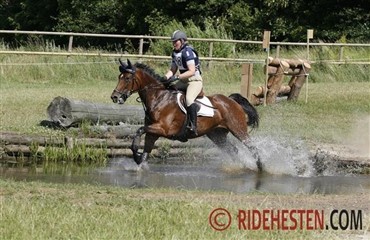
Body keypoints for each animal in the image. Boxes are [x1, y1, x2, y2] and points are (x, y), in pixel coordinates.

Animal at [110, 59, 264, 172]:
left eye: (127, 78)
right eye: (119, 77)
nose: (114, 97)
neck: (159, 97)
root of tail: (232, 101)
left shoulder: (163, 129)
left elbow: (139, 130)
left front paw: (136, 155)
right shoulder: (152, 132)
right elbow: (145, 149)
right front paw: (138, 161)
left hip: (238, 129)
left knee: (253, 148)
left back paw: (261, 167)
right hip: (216, 135)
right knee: (233, 150)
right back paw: (240, 166)